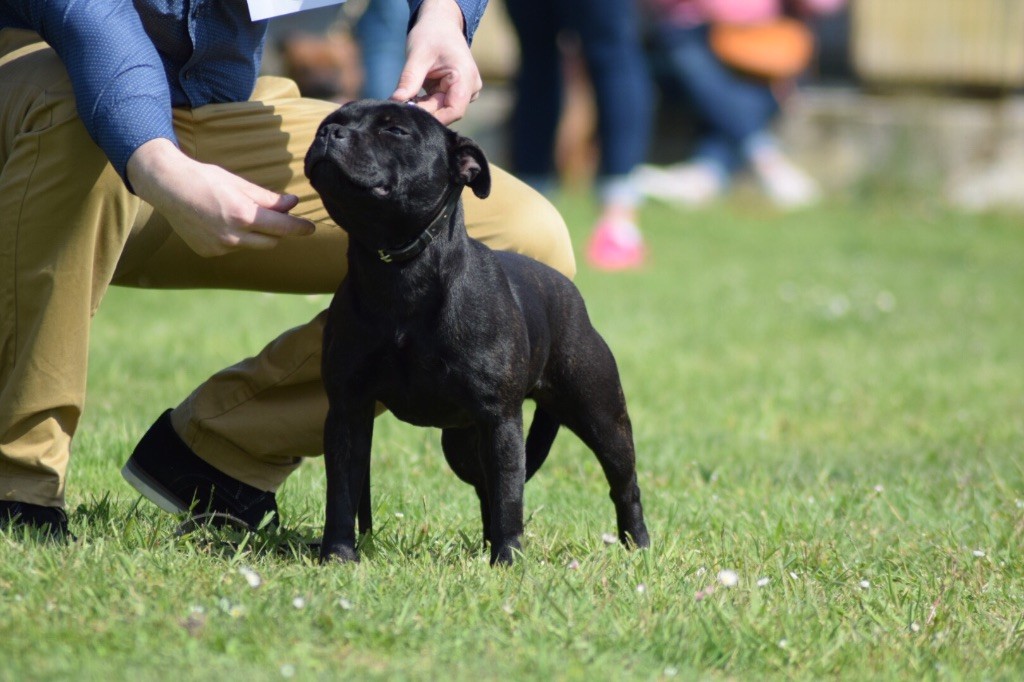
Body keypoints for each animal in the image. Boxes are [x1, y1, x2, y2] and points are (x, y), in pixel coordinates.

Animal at [303, 96, 647, 561]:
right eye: (330, 121)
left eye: (394, 131)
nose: (328, 133)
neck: (399, 269)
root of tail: (567, 289)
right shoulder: (348, 410)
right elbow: (342, 489)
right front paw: (338, 555)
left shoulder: (500, 418)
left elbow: (510, 495)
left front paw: (509, 560)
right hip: (463, 444)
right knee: (486, 487)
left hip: (601, 416)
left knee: (622, 483)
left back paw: (637, 545)